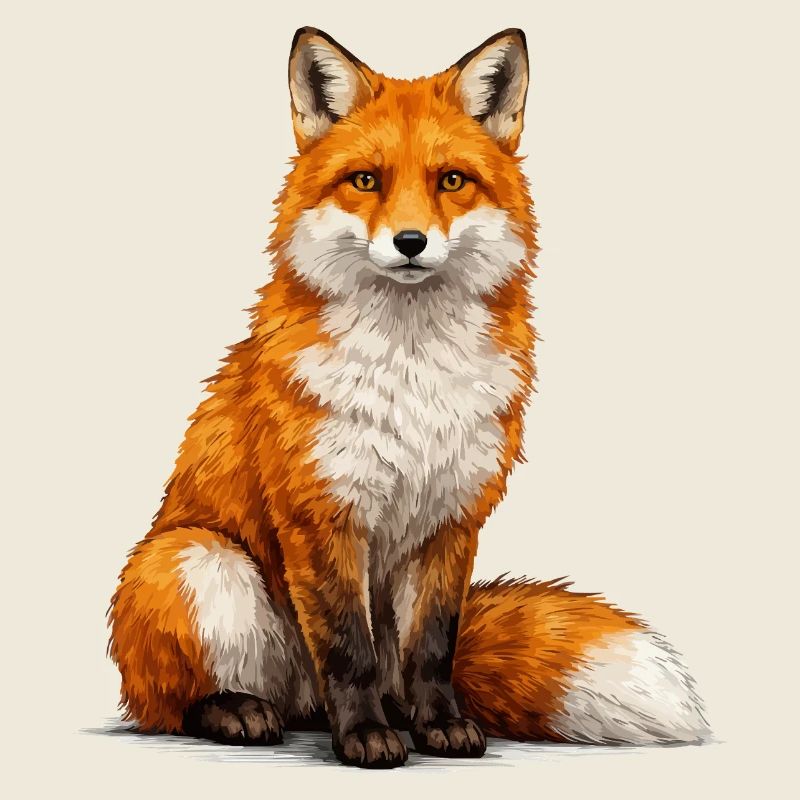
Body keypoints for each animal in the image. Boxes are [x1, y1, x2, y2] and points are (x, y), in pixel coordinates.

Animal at [108, 27, 710, 768]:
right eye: (367, 180)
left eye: (450, 180)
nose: (411, 241)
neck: (413, 375)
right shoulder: (322, 515)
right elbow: (348, 651)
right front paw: (366, 737)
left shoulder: (453, 518)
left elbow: (432, 648)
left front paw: (439, 726)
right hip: (196, 561)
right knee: (175, 705)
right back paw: (239, 712)